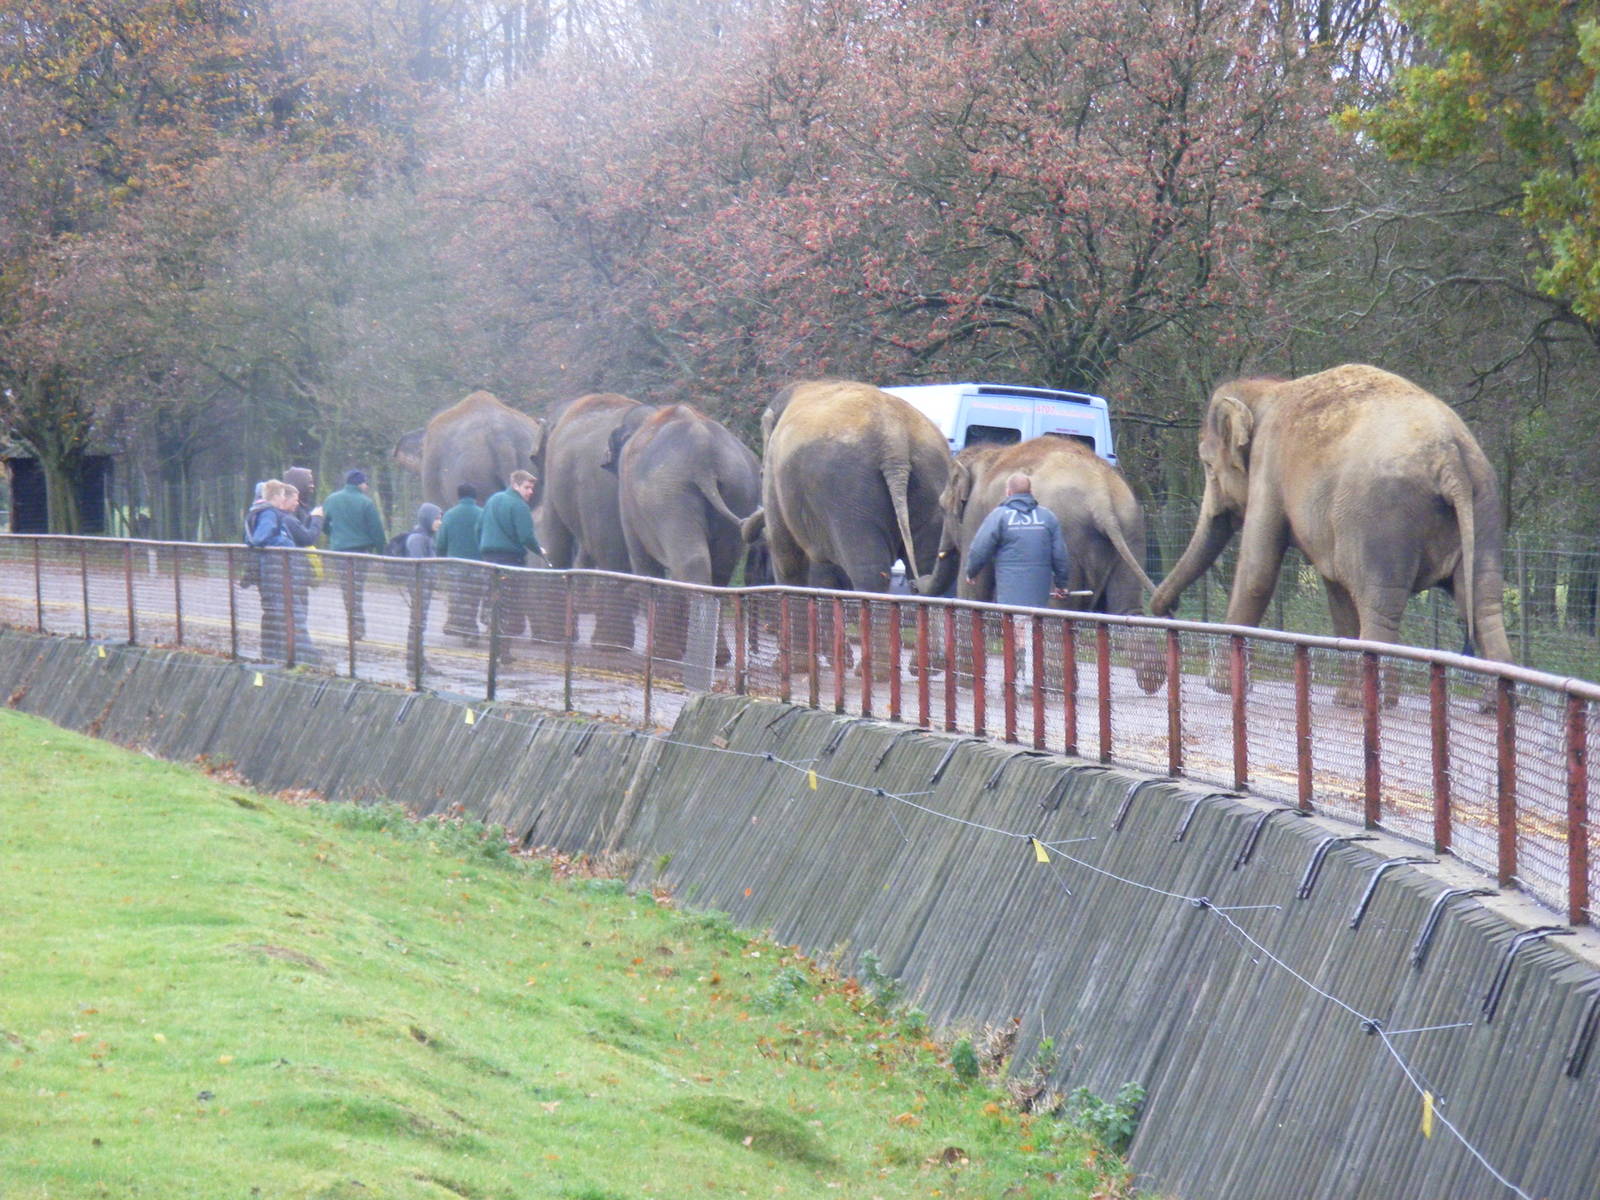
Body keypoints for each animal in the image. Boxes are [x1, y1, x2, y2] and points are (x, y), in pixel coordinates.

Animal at [753, 379, 950, 593]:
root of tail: (895, 442)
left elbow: (785, 553)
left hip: (849, 492)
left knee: (869, 569)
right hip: (930, 475)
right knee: (926, 564)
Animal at [1150, 363, 1512, 698]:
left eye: (1208, 466)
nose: (1169, 608)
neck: (1266, 390)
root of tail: (1449, 458)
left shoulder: (1268, 467)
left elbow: (1257, 574)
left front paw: (1222, 689)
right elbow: (1337, 593)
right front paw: (1346, 700)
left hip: (1382, 520)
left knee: (1381, 609)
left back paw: (1381, 704)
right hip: (1485, 506)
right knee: (1484, 605)